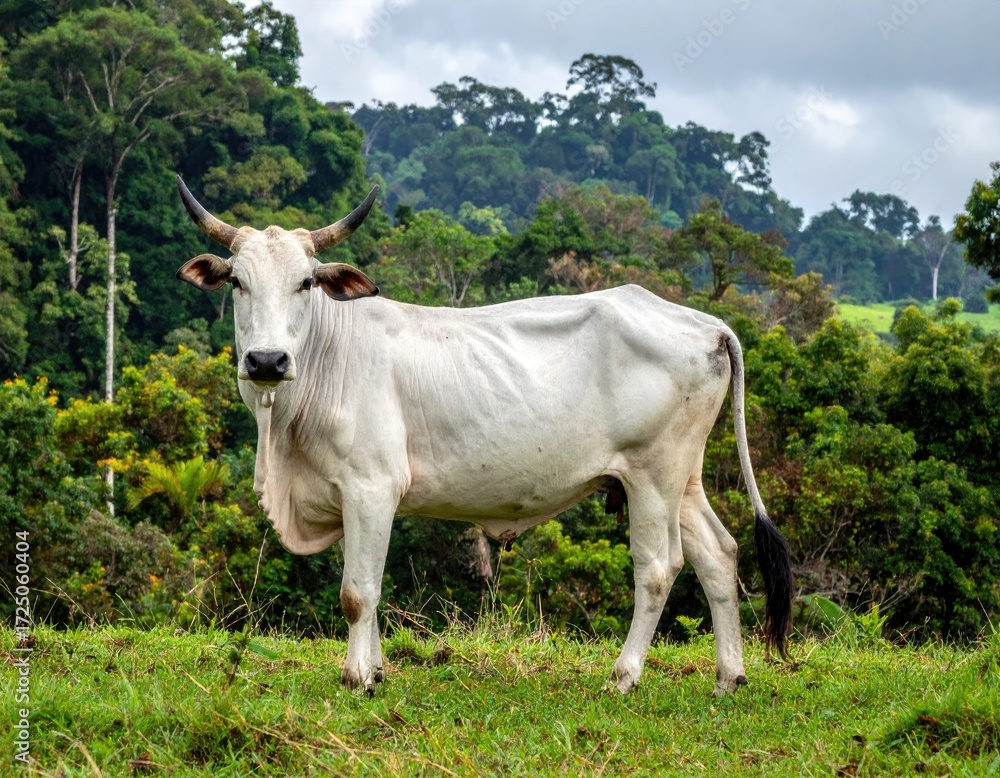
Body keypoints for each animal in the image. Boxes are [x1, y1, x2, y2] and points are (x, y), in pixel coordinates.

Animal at [175, 176, 793, 697]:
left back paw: (623, 677)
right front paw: (377, 670)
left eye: (306, 282)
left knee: (659, 568)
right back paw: (728, 678)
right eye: (237, 281)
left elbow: (358, 593)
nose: (267, 360)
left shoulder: (370, 488)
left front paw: (357, 678)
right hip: (681, 478)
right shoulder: (355, 497)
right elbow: (371, 588)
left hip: (652, 476)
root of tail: (706, 324)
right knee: (719, 553)